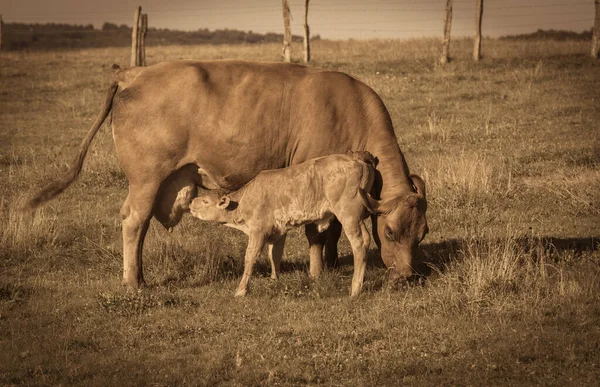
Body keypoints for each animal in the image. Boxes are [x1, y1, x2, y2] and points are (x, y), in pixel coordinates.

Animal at [190, 152, 378, 298]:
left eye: (205, 201)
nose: (191, 202)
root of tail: (357, 159)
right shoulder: (278, 231)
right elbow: (274, 254)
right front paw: (274, 279)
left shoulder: (258, 231)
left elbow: (250, 257)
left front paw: (241, 290)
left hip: (349, 214)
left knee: (360, 242)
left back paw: (355, 289)